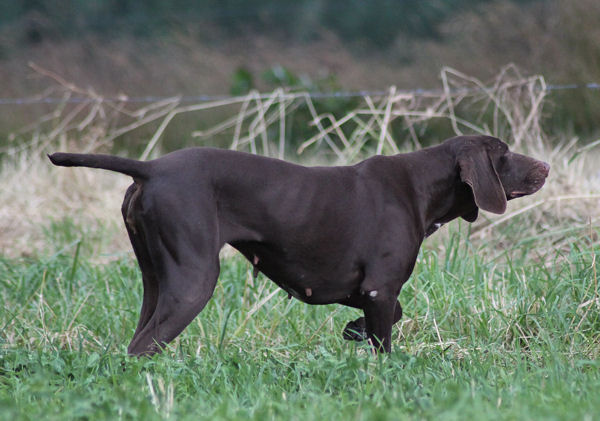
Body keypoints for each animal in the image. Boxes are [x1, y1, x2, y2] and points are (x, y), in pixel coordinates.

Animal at [49, 135, 552, 354]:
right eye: (504, 154)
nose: (546, 167)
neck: (420, 184)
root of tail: (151, 168)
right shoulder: (380, 288)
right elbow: (386, 340)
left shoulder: (368, 292)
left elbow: (386, 318)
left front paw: (352, 331)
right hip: (193, 283)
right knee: (142, 347)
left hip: (156, 283)